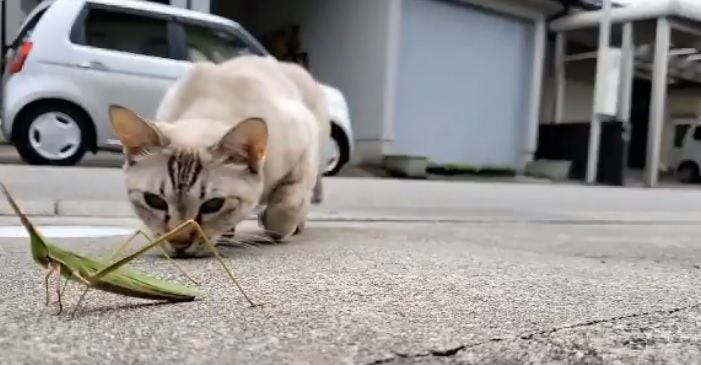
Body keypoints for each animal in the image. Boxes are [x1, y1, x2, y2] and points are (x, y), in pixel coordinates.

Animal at [108, 54, 330, 256]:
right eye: (154, 201)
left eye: (213, 205)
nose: (179, 243)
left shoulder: (306, 146)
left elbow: (286, 206)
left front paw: (273, 224)